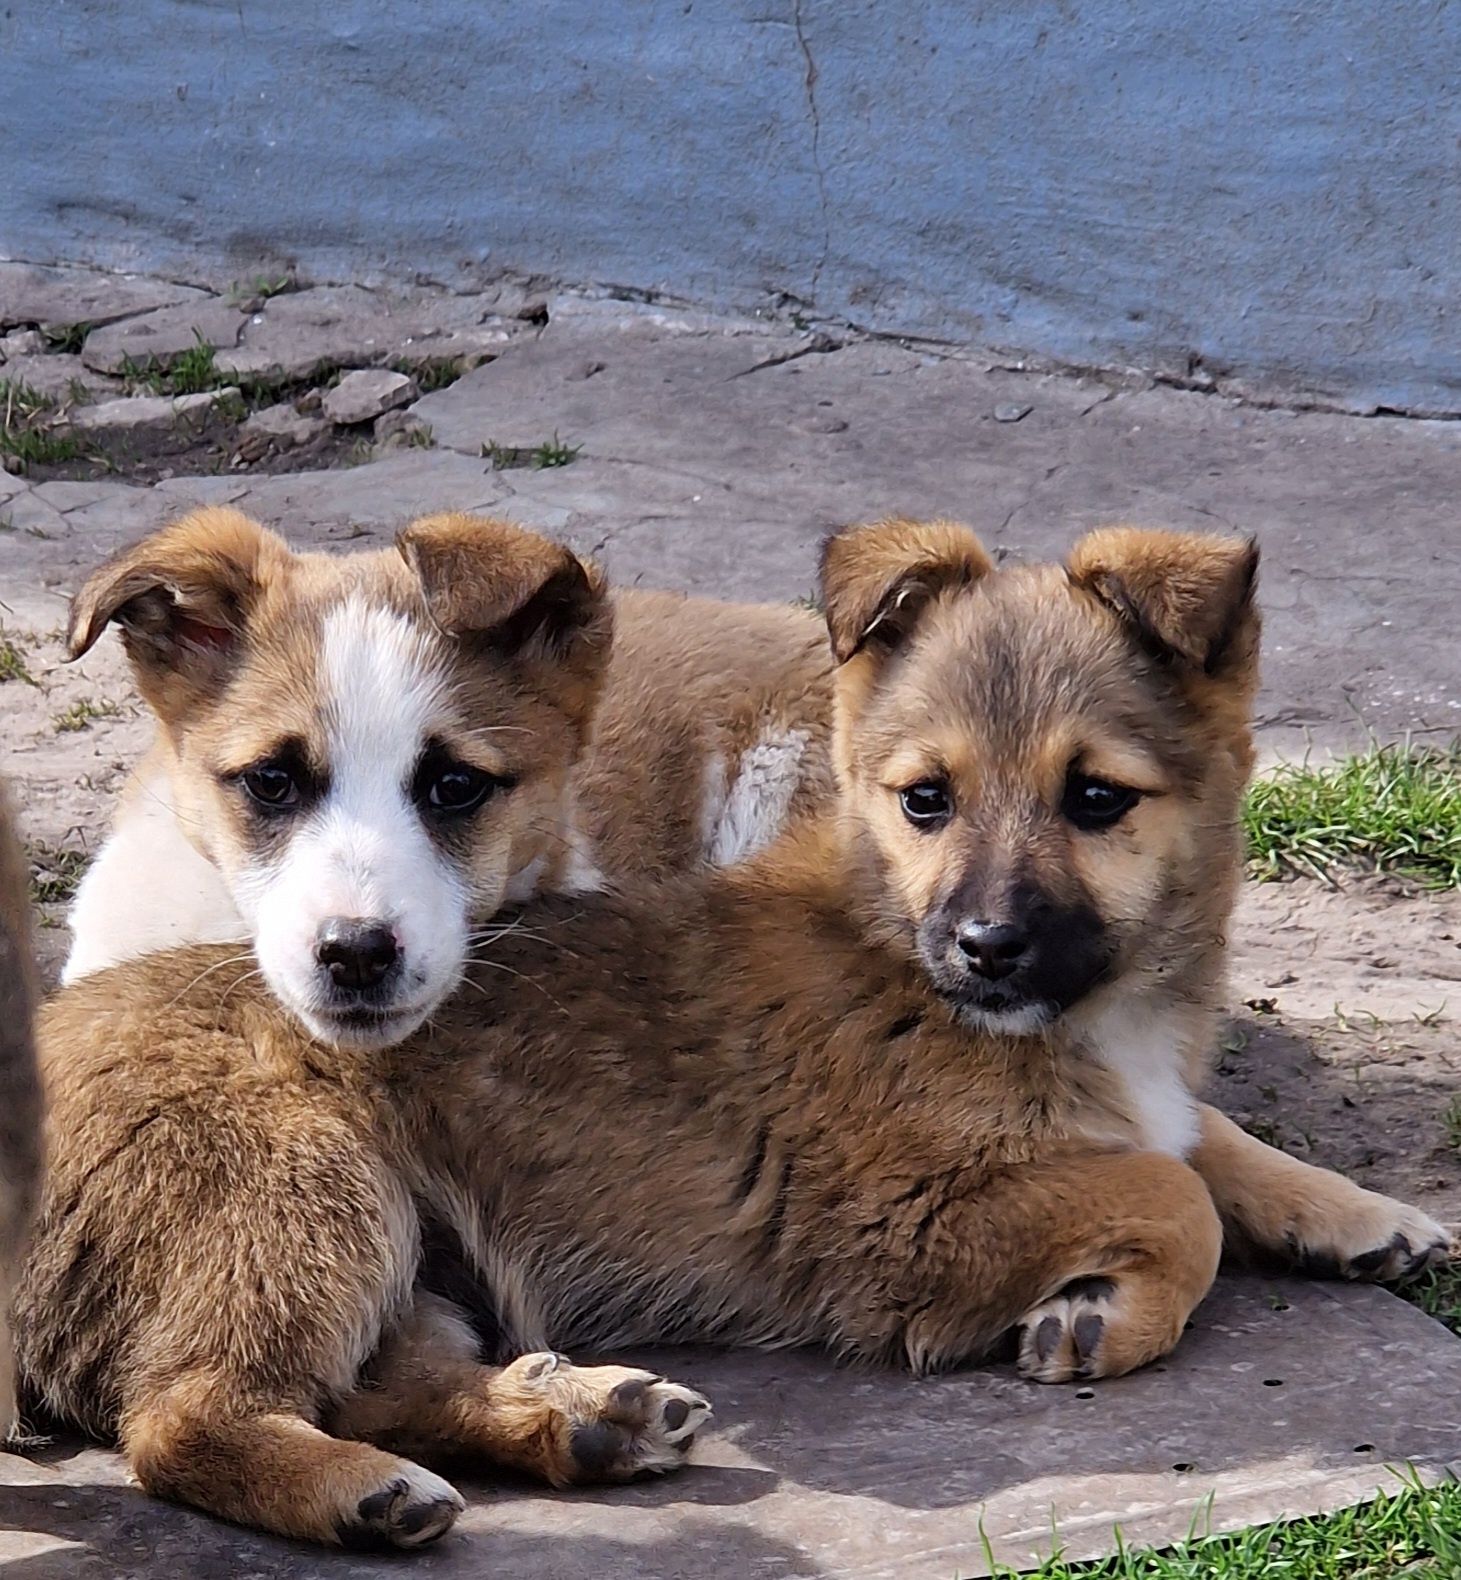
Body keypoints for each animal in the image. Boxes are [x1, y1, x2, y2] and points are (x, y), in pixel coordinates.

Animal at [22, 518, 1446, 1542]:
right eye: (926, 800)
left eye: (1097, 799)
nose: (985, 945)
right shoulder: (894, 1224)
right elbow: (1167, 1188)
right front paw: (1101, 1310)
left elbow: (1193, 1141)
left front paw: (1333, 1207)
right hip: (305, 1178)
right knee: (181, 1414)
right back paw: (362, 1488)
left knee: (375, 1376)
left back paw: (585, 1417)